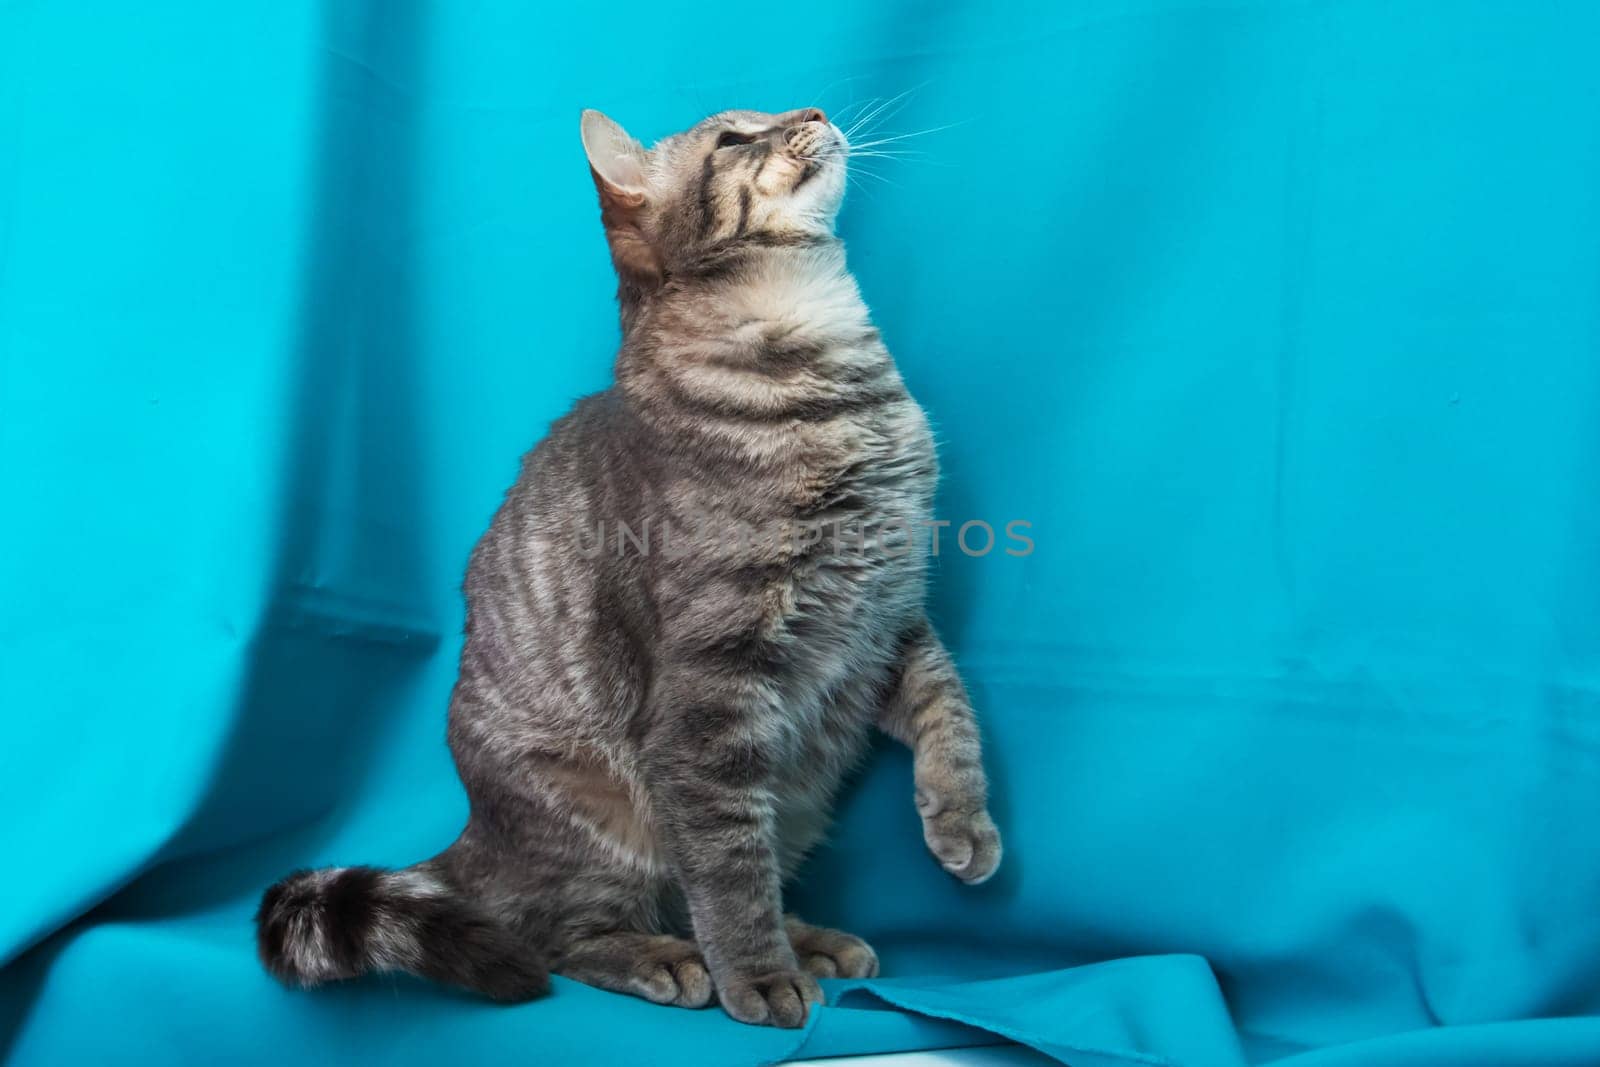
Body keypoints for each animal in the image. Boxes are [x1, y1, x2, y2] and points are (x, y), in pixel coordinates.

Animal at [254, 106, 992, 1023]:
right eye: (734, 138)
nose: (817, 113)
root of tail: (475, 838)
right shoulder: (712, 685)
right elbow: (728, 870)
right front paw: (758, 975)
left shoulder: (887, 615)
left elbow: (949, 709)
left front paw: (962, 818)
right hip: (606, 819)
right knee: (563, 935)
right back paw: (670, 958)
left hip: (795, 800)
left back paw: (811, 937)